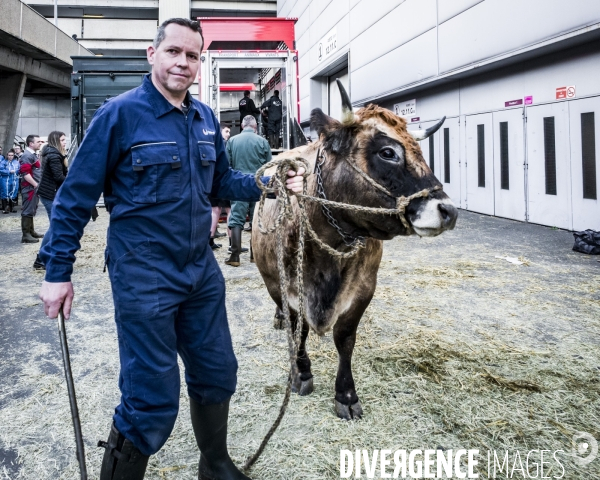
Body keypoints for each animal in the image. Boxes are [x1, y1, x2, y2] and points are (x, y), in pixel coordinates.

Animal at [251, 82, 458, 420]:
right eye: (387, 152)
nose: (449, 211)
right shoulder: (280, 284)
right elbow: (299, 329)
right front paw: (301, 372)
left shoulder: (364, 288)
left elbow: (345, 339)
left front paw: (346, 394)